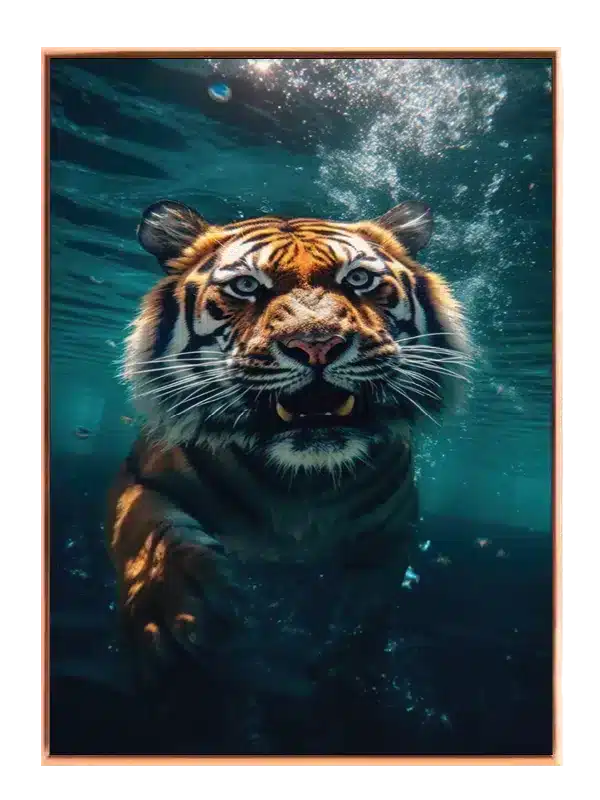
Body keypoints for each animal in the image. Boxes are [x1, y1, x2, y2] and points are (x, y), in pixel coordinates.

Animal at [106, 198, 471, 690]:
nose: (316, 343)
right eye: (246, 286)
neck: (301, 484)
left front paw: (348, 670)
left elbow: (366, 611)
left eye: (358, 279)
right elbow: (148, 531)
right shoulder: (140, 476)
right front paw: (170, 613)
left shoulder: (391, 533)